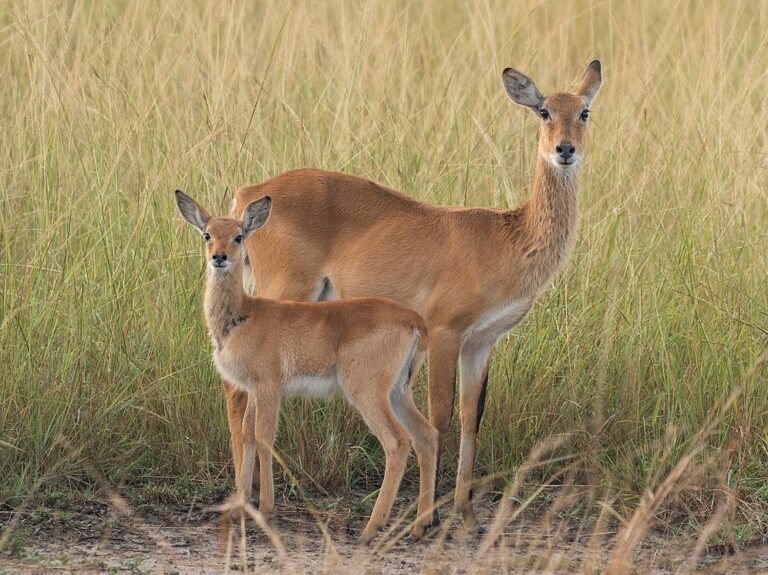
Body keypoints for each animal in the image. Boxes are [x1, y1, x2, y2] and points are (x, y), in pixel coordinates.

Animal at [176, 190, 438, 544]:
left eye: (239, 235)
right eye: (207, 234)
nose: (219, 257)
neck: (243, 315)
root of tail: (414, 320)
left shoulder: (269, 387)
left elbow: (263, 436)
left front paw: (266, 508)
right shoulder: (253, 389)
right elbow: (246, 434)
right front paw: (240, 507)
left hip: (367, 392)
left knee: (397, 442)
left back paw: (371, 528)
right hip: (399, 391)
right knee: (426, 435)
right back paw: (419, 526)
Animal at [231, 60, 604, 532]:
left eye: (584, 112)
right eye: (544, 111)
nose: (564, 149)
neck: (509, 237)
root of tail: (248, 194)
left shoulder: (482, 342)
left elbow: (471, 416)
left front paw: (466, 512)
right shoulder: (445, 332)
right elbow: (440, 415)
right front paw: (429, 516)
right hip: (283, 293)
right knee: (238, 395)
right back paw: (249, 504)